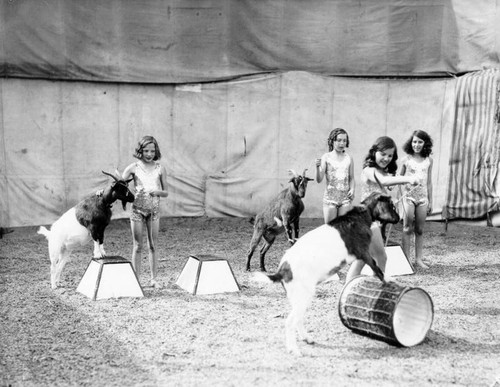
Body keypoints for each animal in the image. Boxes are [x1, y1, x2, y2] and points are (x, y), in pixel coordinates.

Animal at [258, 192, 398, 356]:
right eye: (392, 205)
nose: (399, 218)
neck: (362, 216)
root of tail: (282, 269)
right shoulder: (363, 251)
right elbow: (376, 267)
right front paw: (387, 279)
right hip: (303, 294)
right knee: (290, 321)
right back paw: (294, 349)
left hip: (296, 296)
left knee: (298, 318)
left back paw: (307, 339)